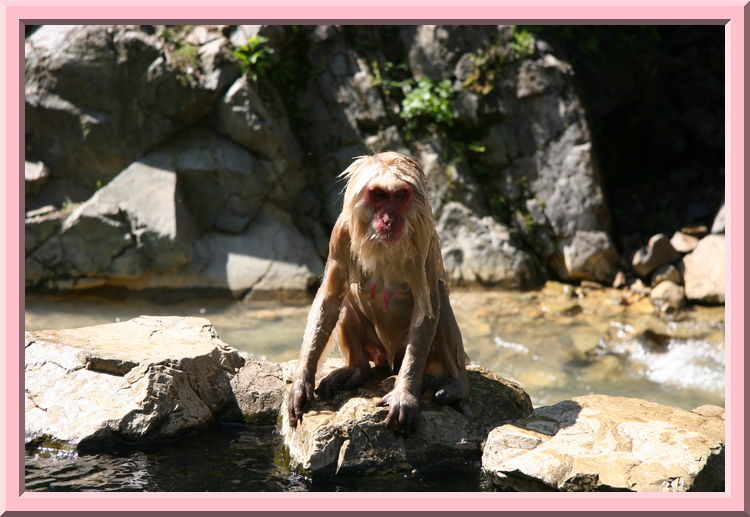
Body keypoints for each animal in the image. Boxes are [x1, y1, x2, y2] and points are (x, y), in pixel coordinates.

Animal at [287, 152, 469, 434]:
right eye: (380, 195)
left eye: (399, 196)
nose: (389, 218)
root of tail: (389, 359)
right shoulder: (341, 231)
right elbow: (329, 300)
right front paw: (301, 381)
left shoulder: (424, 233)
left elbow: (426, 308)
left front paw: (404, 393)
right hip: (376, 349)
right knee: (346, 299)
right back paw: (357, 370)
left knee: (437, 295)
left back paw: (456, 384)